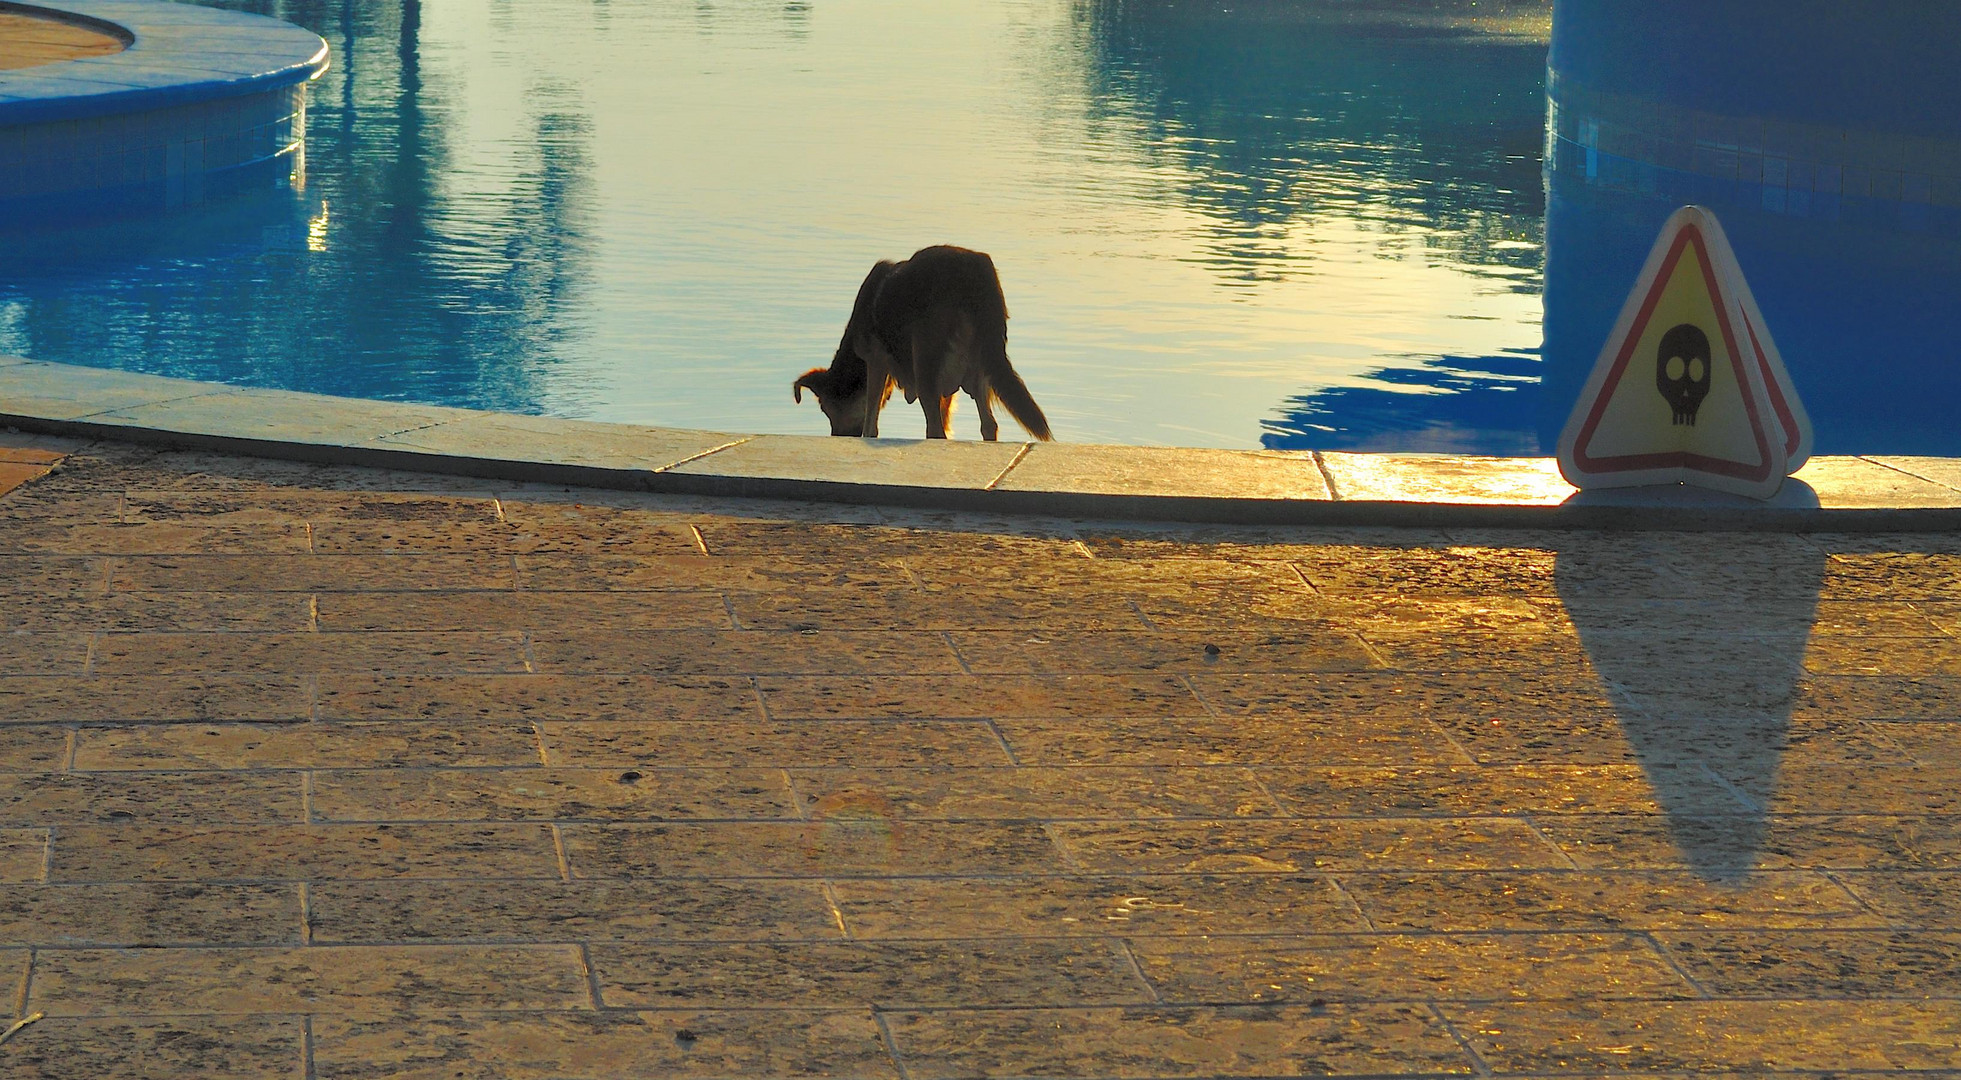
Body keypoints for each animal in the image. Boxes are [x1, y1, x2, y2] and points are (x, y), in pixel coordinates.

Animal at [788, 246, 1051, 441]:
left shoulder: (876, 362)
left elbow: (870, 425)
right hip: (985, 363)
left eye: (825, 409)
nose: (838, 437)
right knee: (987, 425)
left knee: (934, 428)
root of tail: (972, 273)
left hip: (926, 363)